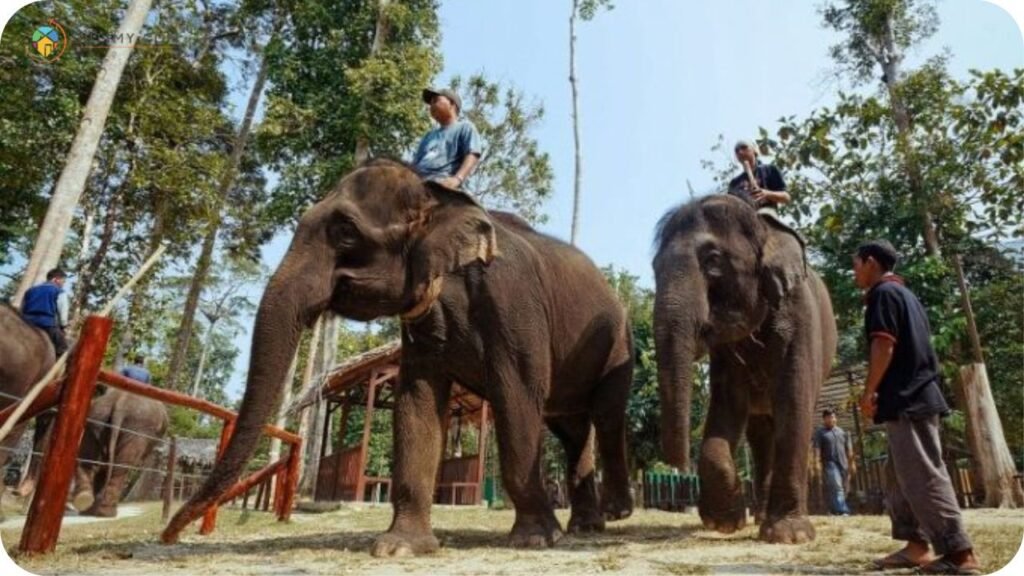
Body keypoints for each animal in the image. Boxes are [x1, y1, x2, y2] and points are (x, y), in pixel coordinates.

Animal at [163, 158, 634, 553]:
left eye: (346, 232)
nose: (168, 536)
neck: (438, 201)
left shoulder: (513, 302)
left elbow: (517, 396)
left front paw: (535, 539)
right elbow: (416, 404)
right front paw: (400, 547)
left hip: (618, 341)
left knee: (605, 415)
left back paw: (611, 515)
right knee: (572, 430)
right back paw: (585, 526)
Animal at [651, 194, 835, 541]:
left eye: (713, 261)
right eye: (654, 268)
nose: (675, 467)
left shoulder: (797, 311)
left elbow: (794, 399)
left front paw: (789, 536)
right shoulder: (724, 353)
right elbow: (727, 402)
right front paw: (723, 523)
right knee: (760, 433)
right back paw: (758, 513)